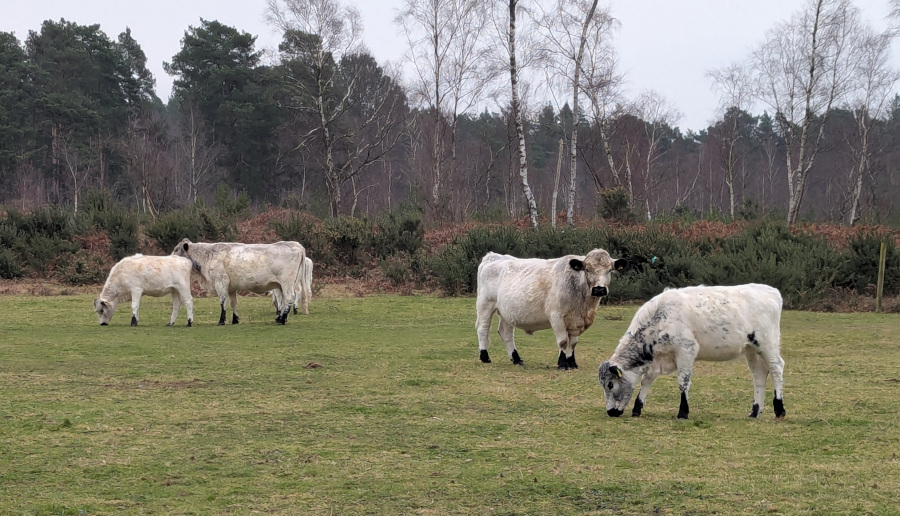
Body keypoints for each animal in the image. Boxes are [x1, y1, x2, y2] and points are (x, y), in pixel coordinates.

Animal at [172, 239, 306, 326]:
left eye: (176, 249)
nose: (170, 257)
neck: (208, 255)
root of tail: (294, 244)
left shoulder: (221, 282)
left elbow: (222, 302)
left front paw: (221, 320)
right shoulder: (231, 287)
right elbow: (233, 303)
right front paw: (235, 319)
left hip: (287, 282)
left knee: (289, 298)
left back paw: (283, 319)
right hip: (281, 285)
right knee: (283, 300)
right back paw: (280, 318)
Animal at [478, 249, 624, 366]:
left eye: (609, 270)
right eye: (587, 269)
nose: (599, 289)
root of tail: (493, 256)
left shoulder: (575, 321)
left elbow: (573, 342)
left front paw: (572, 363)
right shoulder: (556, 316)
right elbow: (563, 341)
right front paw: (562, 363)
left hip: (507, 312)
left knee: (506, 333)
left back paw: (516, 359)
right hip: (485, 304)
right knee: (482, 328)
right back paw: (484, 357)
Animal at [596, 284, 788, 422]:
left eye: (610, 384)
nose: (610, 412)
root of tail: (771, 291)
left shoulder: (686, 350)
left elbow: (683, 382)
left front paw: (683, 412)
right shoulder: (658, 360)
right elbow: (647, 380)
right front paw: (637, 408)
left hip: (768, 344)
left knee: (776, 368)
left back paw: (779, 409)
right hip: (752, 350)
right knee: (759, 376)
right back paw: (755, 411)